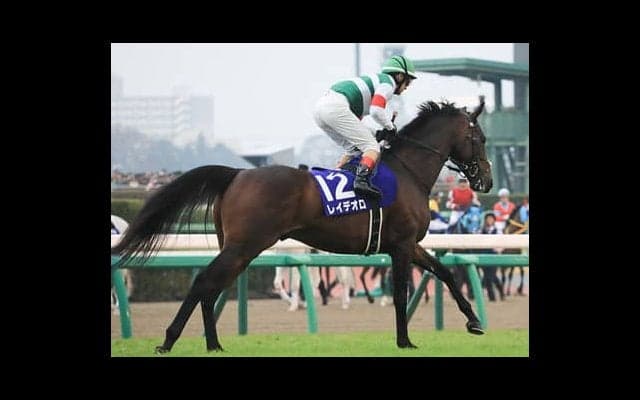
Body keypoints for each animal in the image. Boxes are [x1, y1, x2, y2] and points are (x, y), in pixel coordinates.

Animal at [112, 99, 493, 352]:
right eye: (480, 139)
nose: (486, 181)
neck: (407, 173)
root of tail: (238, 174)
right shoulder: (400, 244)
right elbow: (400, 293)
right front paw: (404, 341)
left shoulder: (410, 244)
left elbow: (445, 272)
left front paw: (474, 321)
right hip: (244, 246)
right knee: (204, 282)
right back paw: (169, 340)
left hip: (237, 248)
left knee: (212, 286)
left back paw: (214, 345)